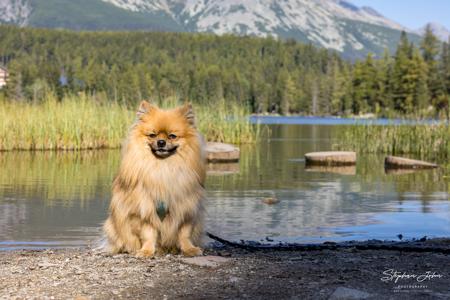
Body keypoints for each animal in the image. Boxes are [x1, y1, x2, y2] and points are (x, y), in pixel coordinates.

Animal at [103, 101, 206, 258]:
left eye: (172, 136)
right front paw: (146, 251)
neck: (162, 167)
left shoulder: (186, 208)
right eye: (152, 135)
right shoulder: (144, 211)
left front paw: (189, 249)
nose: (161, 142)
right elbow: (148, 233)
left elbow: (184, 233)